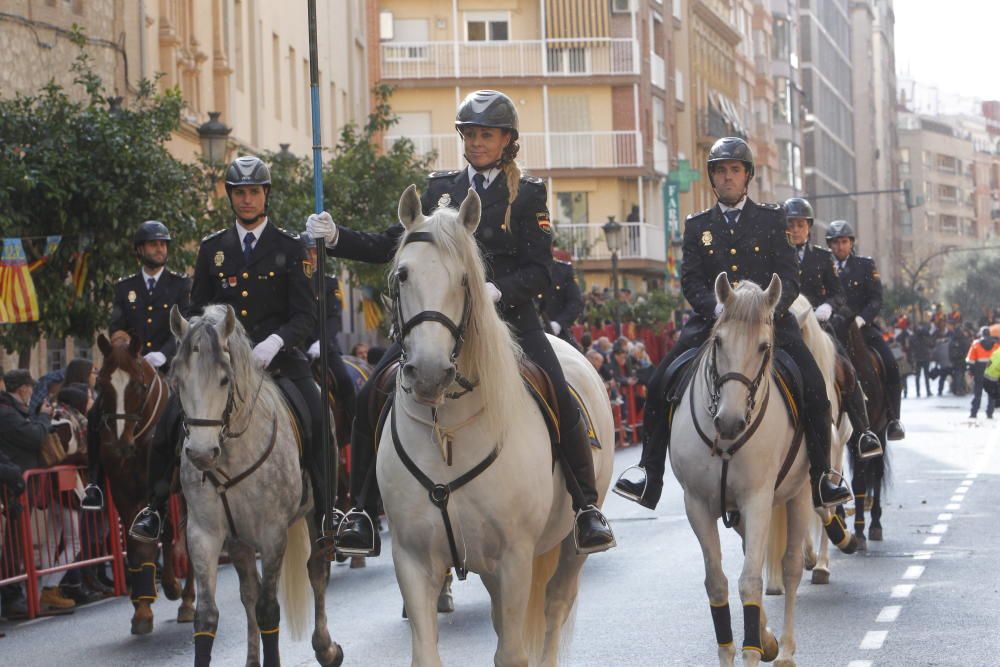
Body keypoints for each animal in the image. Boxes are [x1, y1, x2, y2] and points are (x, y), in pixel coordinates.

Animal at [94, 332, 194, 636]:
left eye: (139, 386)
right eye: (101, 385)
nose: (120, 446)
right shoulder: (124, 495)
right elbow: (137, 545)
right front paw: (141, 605)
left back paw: (186, 600)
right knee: (168, 530)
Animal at [168, 306, 344, 667]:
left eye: (224, 379)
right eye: (178, 380)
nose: (201, 453)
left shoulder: (272, 532)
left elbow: (268, 610)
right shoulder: (204, 533)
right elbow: (207, 617)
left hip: (315, 516)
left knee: (317, 570)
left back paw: (326, 648)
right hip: (238, 541)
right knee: (248, 590)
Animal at [378, 187, 612, 667]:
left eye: (465, 279)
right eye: (402, 275)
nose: (429, 373)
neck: (447, 432)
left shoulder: (514, 558)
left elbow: (513, 652)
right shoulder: (412, 559)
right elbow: (427, 652)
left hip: (568, 546)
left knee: (554, 607)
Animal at [672, 272, 820, 667]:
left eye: (764, 347)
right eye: (718, 341)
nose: (729, 421)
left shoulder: (757, 500)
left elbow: (751, 581)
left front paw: (755, 647)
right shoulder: (697, 504)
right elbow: (717, 583)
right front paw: (735, 649)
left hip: (800, 493)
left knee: (790, 566)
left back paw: (785, 649)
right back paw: (771, 640)